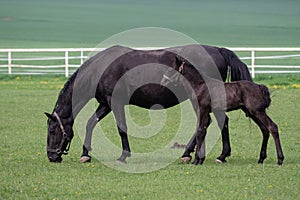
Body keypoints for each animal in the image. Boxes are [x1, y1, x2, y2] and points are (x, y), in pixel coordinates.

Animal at [44, 43, 251, 162]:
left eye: (52, 131)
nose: (52, 156)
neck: (100, 68)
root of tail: (218, 50)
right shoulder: (105, 104)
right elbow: (90, 123)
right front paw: (85, 154)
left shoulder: (115, 102)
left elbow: (122, 128)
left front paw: (124, 155)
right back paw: (195, 154)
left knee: (215, 122)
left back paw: (217, 155)